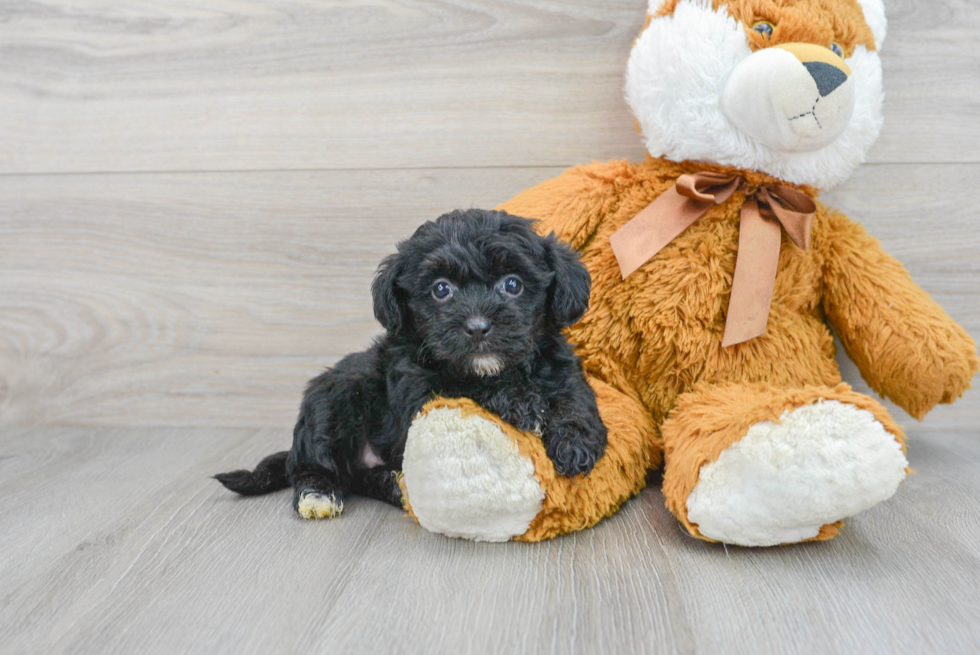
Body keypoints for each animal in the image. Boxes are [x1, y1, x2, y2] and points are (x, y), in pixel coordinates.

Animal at [216, 208, 604, 520]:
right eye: (441, 289)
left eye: (513, 284)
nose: (477, 326)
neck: (497, 369)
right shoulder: (417, 392)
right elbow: (463, 386)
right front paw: (520, 403)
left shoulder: (560, 366)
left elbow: (574, 396)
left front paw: (577, 442)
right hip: (332, 400)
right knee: (314, 464)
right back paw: (319, 495)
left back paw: (393, 484)